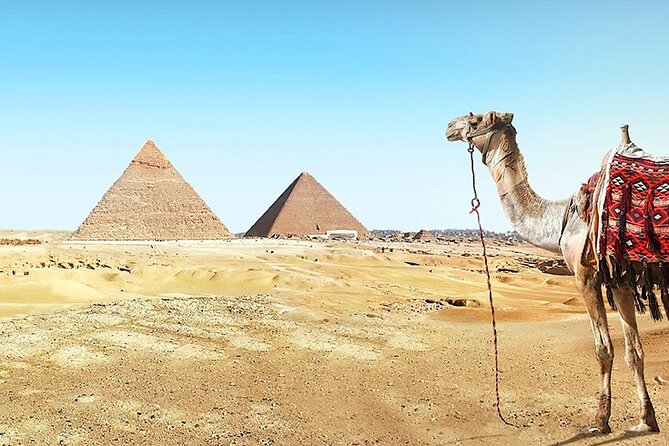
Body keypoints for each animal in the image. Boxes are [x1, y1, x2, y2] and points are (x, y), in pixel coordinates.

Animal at [445, 111, 659, 434]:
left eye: (476, 118)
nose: (449, 126)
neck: (560, 216)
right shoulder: (619, 279)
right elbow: (634, 351)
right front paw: (646, 420)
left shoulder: (585, 275)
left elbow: (604, 349)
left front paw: (600, 421)